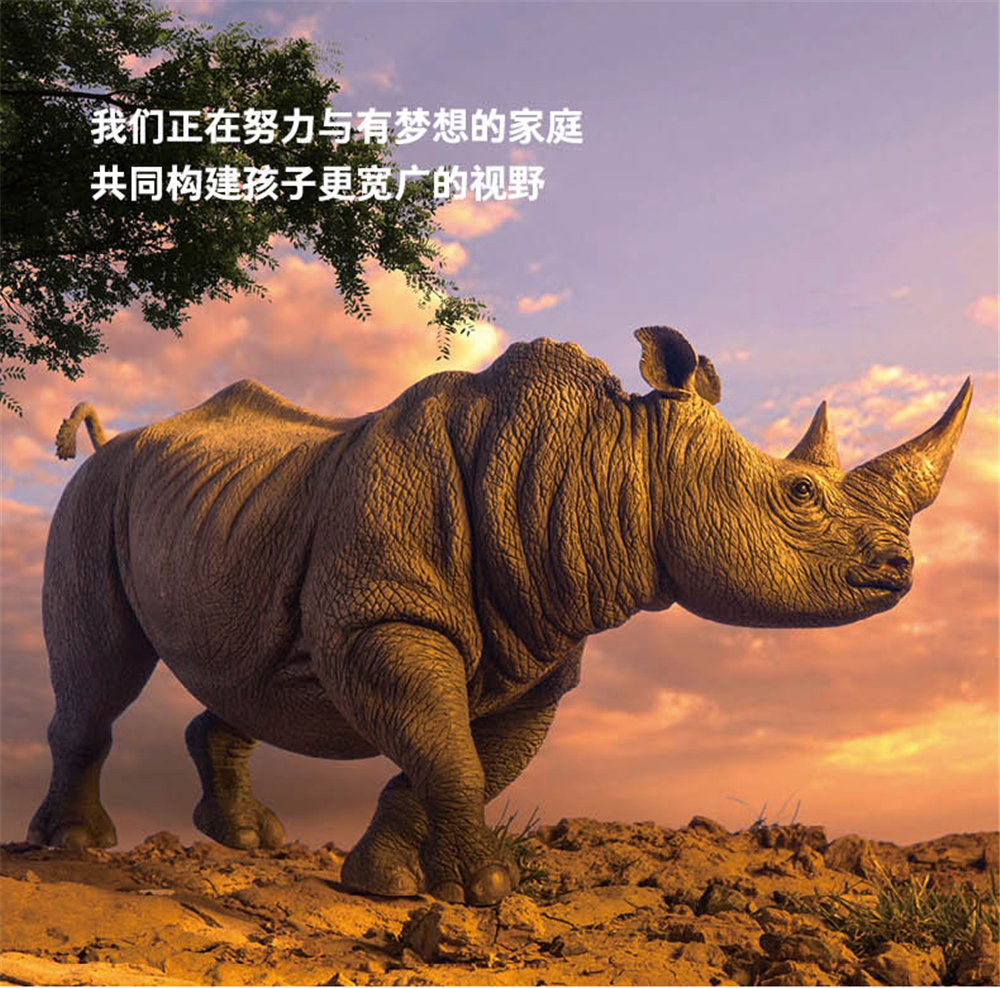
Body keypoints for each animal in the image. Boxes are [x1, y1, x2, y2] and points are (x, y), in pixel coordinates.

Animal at [28, 327, 971, 905]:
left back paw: (248, 841)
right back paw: (71, 847)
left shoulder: (541, 655)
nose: (901, 571)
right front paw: (482, 894)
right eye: (801, 493)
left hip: (231, 515)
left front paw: (390, 884)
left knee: (250, 671)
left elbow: (458, 761)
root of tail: (117, 438)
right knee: (102, 670)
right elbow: (449, 753)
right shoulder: (386, 617)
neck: (603, 463)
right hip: (95, 498)